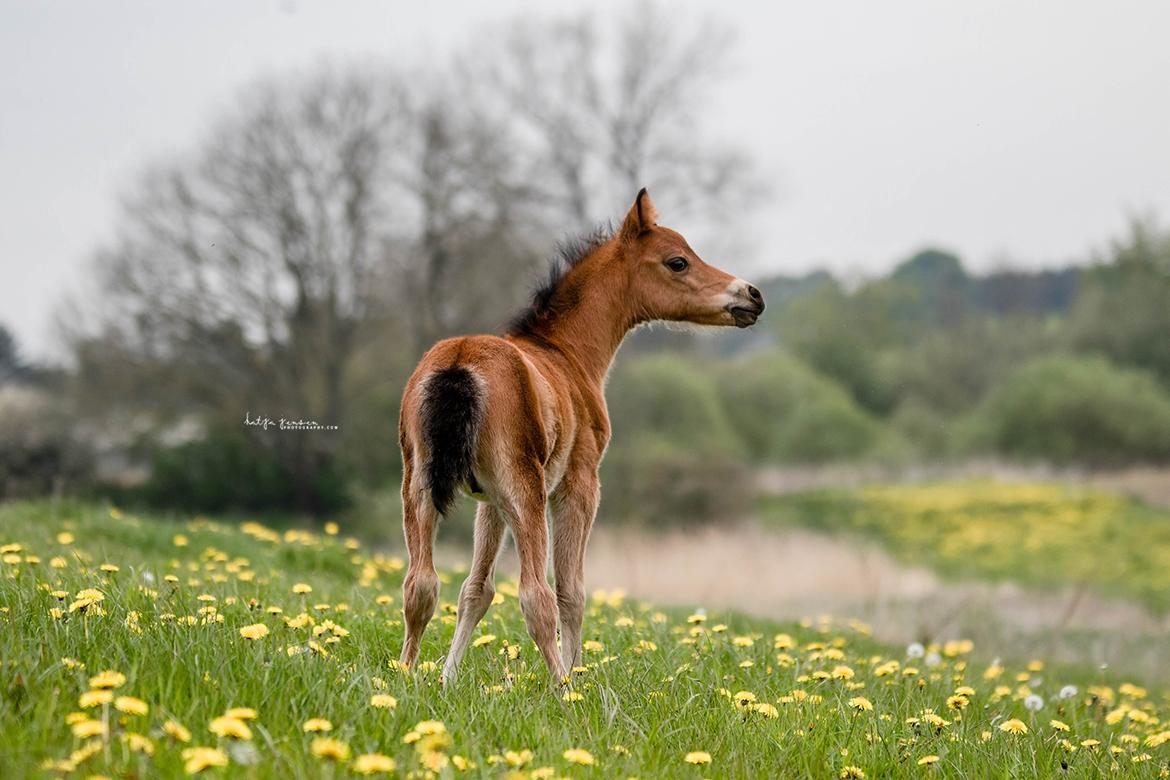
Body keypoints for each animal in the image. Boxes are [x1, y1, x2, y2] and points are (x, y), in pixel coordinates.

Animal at [400, 189, 767, 682]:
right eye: (678, 262)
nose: (752, 295)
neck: (565, 354)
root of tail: (461, 360)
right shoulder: (579, 484)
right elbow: (570, 591)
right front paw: (577, 676)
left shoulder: (489, 502)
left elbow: (476, 590)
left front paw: (447, 680)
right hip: (528, 492)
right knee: (536, 595)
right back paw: (562, 687)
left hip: (419, 487)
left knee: (420, 584)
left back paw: (403, 678)